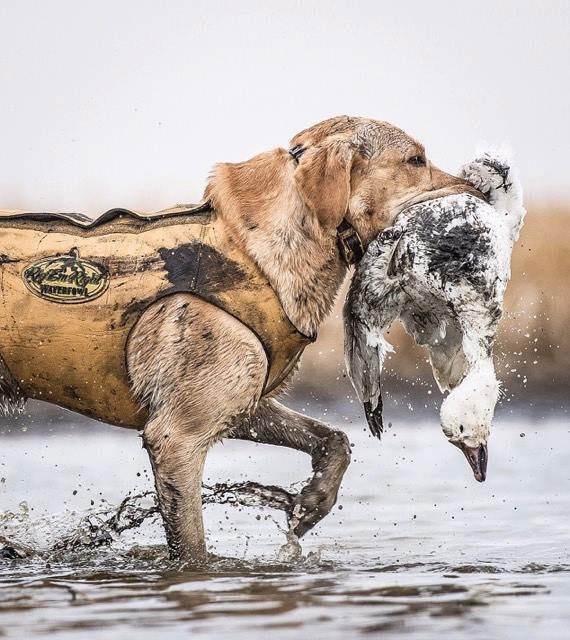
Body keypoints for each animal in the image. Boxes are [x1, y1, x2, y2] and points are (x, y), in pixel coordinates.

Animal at [0, 116, 472, 560]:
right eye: (415, 160)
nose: (479, 190)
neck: (258, 253)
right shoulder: (177, 437)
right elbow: (192, 548)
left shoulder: (243, 402)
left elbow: (334, 439)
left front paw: (308, 504)